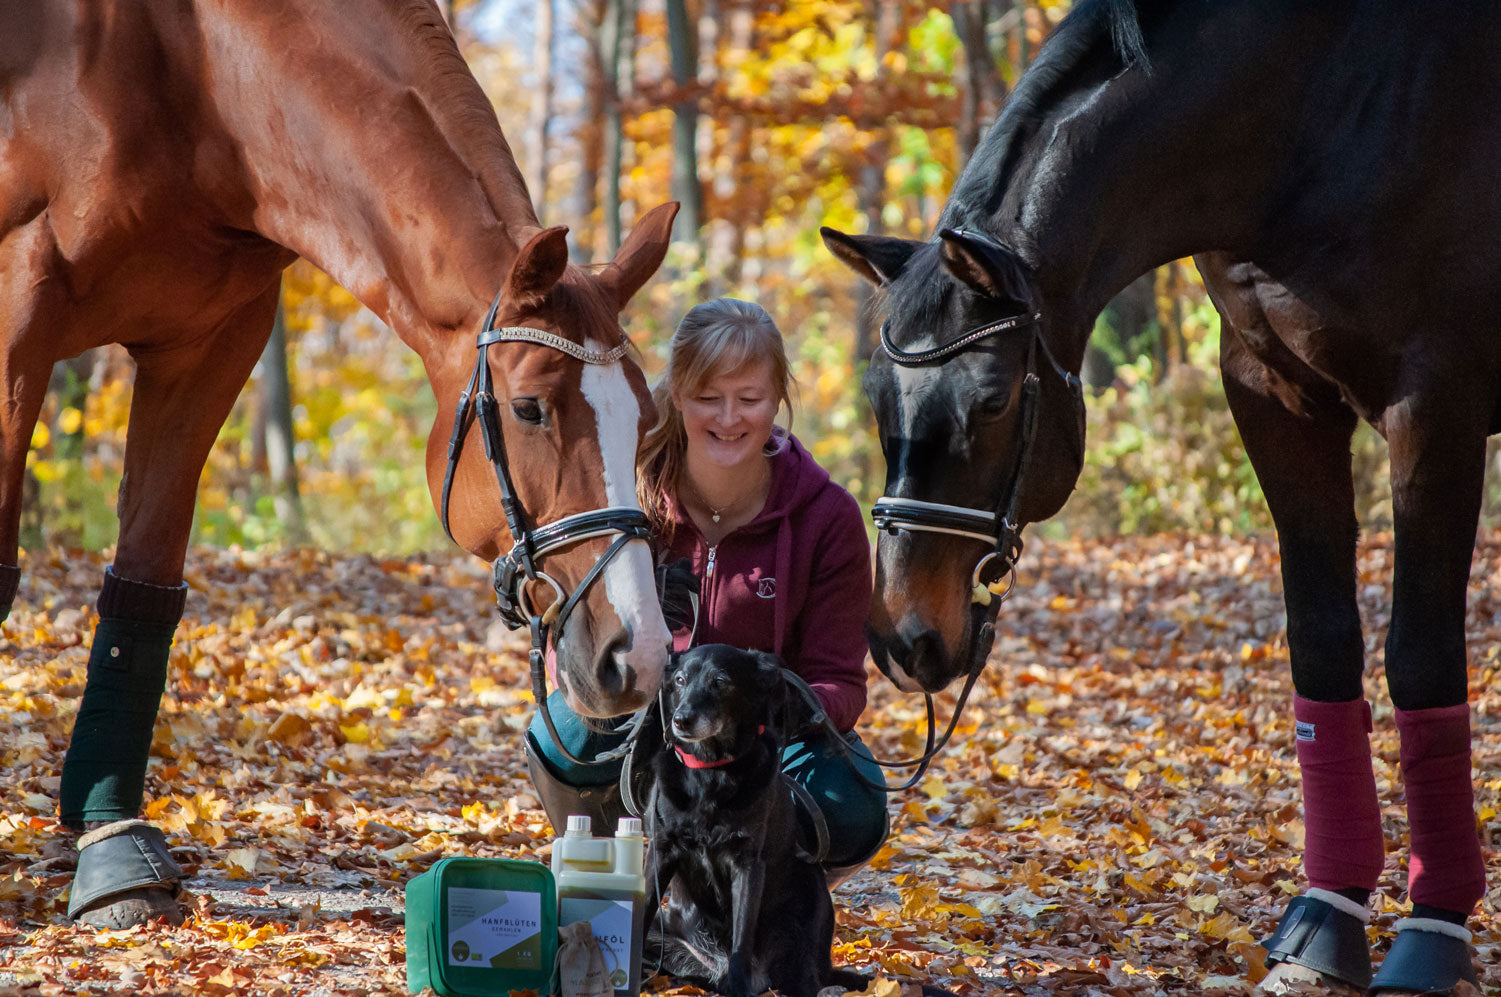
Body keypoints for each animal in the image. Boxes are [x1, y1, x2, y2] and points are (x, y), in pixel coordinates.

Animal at [1, 1, 675, 924]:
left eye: (644, 423)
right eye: (530, 407)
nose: (635, 654)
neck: (197, 77)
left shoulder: (211, 339)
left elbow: (145, 584)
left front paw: (111, 854)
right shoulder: (18, 308)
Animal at [639, 642, 864, 990]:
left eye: (720, 681)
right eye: (679, 680)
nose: (681, 720)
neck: (710, 771)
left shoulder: (747, 863)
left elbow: (741, 938)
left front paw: (736, 985)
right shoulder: (661, 852)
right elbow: (639, 916)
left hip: (802, 926)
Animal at [828, 0, 1494, 990]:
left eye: (992, 400)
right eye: (876, 395)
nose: (903, 639)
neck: (1322, 113)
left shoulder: (1437, 403)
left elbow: (1418, 658)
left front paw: (1432, 930)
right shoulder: (1270, 392)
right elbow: (1322, 643)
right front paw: (1323, 922)